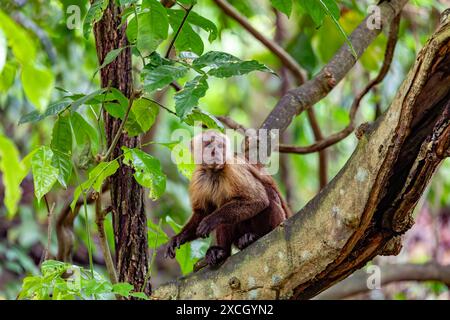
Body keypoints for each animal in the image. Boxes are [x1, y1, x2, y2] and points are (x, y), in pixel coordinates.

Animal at [164, 130, 288, 268]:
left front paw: (210, 220)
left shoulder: (233, 168)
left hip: (279, 222)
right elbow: (202, 212)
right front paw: (178, 238)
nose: (215, 151)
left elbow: (258, 200)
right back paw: (222, 252)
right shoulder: (198, 176)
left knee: (268, 201)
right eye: (208, 144)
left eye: (220, 146)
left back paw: (255, 236)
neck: (213, 171)